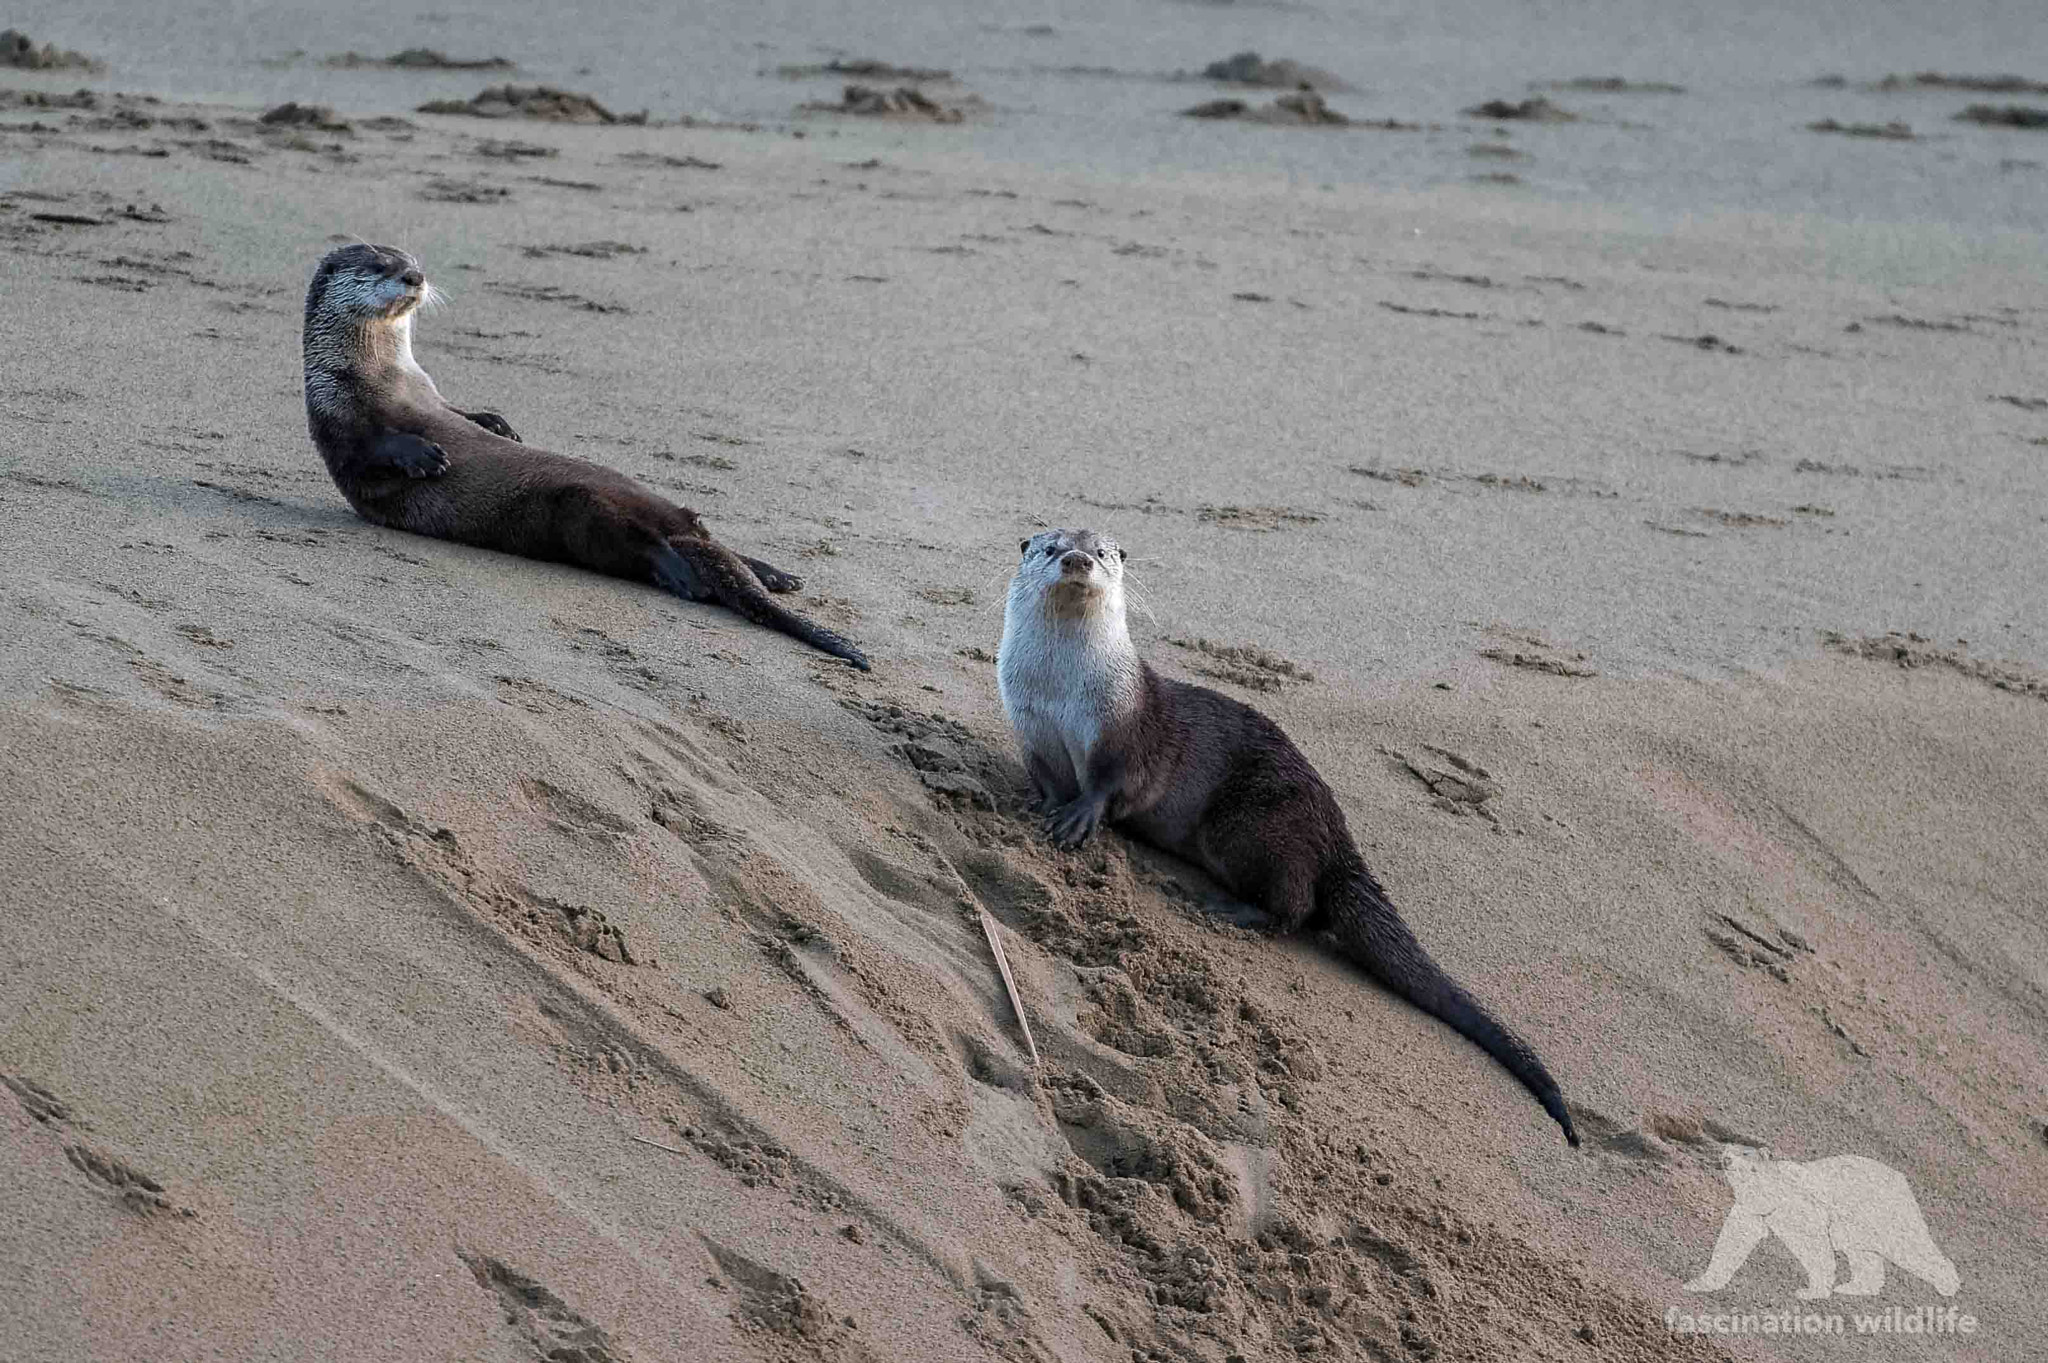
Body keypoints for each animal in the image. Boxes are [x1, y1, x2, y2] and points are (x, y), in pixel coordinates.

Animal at [299, 246, 868, 671]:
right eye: (380, 265)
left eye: (411, 258)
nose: (415, 276)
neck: (386, 374)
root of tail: (675, 522)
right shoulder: (334, 411)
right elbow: (370, 450)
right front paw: (424, 454)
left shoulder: (432, 393)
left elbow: (463, 412)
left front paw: (497, 423)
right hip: (576, 510)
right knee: (639, 540)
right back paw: (681, 575)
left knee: (701, 536)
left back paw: (774, 575)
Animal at [999, 523, 1572, 1137]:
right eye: (1052, 546)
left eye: (1103, 552)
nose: (1078, 561)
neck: (1061, 697)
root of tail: (1336, 834)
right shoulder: (1029, 727)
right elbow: (1046, 780)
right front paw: (1038, 806)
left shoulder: (1129, 729)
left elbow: (1112, 782)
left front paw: (1080, 816)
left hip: (1250, 823)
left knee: (1297, 908)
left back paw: (1227, 909)